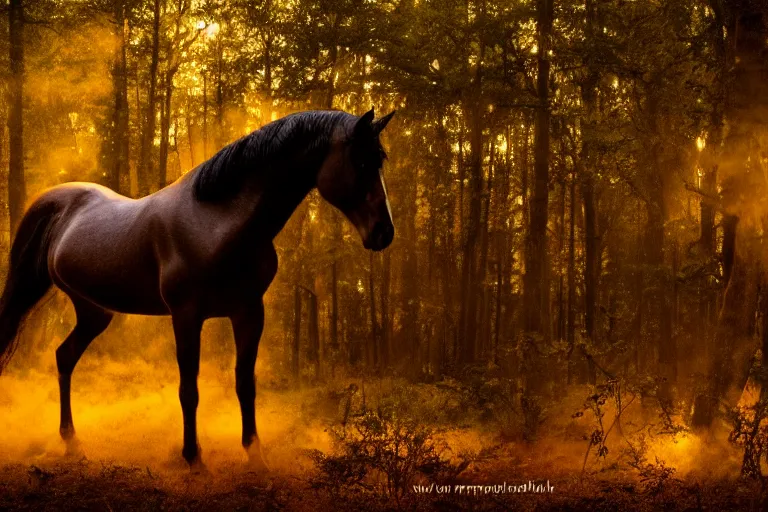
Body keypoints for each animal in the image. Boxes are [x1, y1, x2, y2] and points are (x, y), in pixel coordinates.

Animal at [0, 108, 396, 468]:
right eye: (361, 161)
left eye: (380, 161)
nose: (384, 232)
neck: (218, 222)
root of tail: (56, 200)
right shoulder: (186, 316)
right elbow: (189, 390)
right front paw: (192, 456)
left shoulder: (249, 312)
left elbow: (245, 383)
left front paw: (255, 454)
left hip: (94, 312)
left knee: (64, 357)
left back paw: (71, 440)